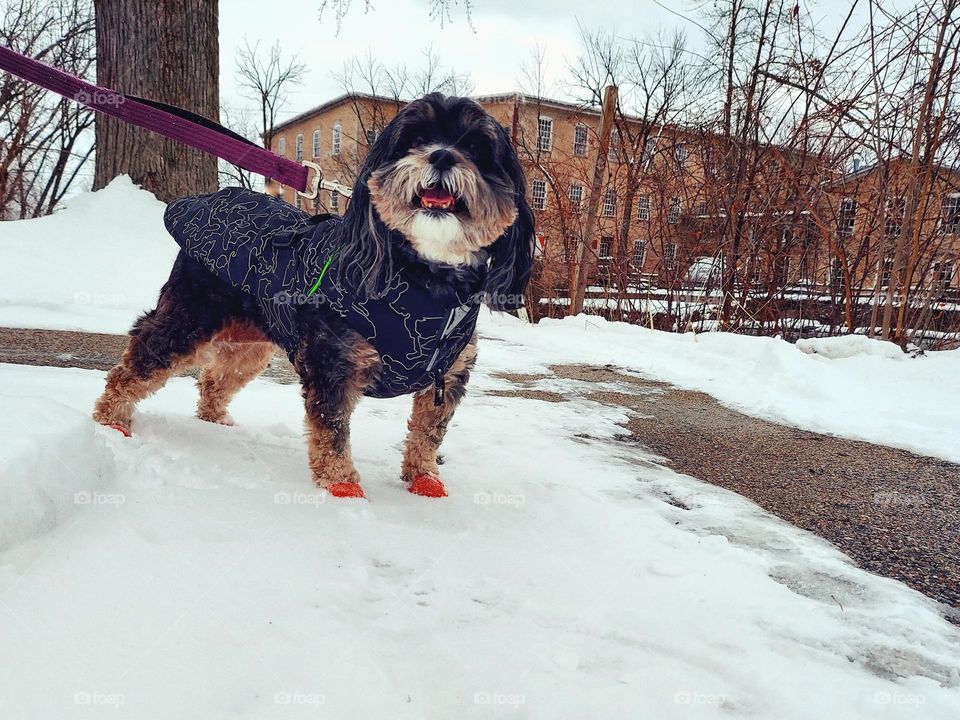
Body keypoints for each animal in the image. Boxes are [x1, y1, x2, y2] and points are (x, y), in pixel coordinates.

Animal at [94, 94, 536, 500]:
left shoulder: (449, 373)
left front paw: (424, 479)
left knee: (215, 378)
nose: (442, 155)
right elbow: (332, 430)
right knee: (140, 359)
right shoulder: (333, 362)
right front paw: (342, 487)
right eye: (415, 139)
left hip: (251, 343)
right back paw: (111, 419)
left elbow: (429, 431)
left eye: (477, 148)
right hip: (190, 317)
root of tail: (205, 200)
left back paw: (215, 420)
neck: (425, 280)